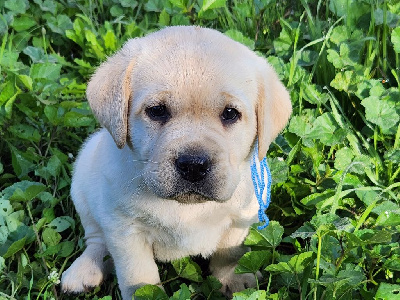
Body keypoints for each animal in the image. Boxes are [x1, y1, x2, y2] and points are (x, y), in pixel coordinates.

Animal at [61, 26, 290, 300]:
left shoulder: (241, 218)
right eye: (157, 111)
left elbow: (230, 253)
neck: (188, 208)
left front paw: (234, 279)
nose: (194, 165)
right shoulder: (126, 230)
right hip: (84, 183)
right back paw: (85, 270)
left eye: (230, 113)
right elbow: (139, 275)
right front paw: (145, 294)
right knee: (96, 238)